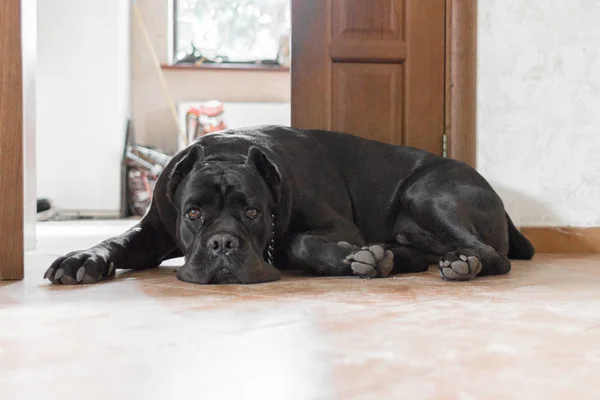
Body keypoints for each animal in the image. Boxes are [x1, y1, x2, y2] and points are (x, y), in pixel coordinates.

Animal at [45, 125, 536, 284]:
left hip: (427, 193)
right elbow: (117, 240)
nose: (223, 245)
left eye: (253, 213)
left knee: (490, 255)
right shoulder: (153, 230)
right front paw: (81, 258)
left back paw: (460, 264)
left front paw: (350, 258)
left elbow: (298, 242)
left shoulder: (338, 227)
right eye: (192, 214)